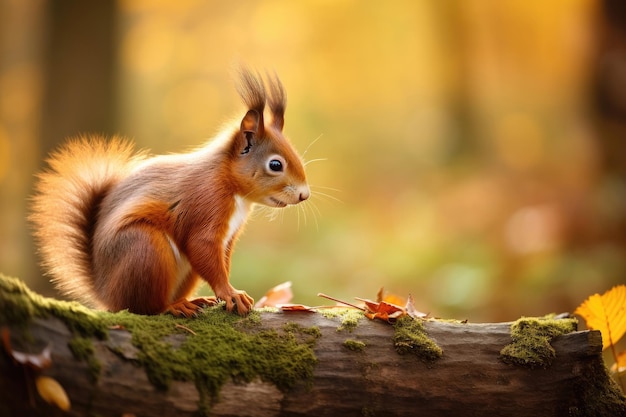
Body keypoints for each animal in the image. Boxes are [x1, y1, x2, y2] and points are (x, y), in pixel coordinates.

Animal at [30, 67, 308, 316]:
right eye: (275, 165)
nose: (304, 195)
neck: (230, 185)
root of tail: (105, 291)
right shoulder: (206, 204)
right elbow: (202, 248)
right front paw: (230, 293)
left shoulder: (228, 238)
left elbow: (223, 261)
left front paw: (226, 293)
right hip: (145, 250)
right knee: (144, 307)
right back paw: (172, 307)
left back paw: (192, 301)